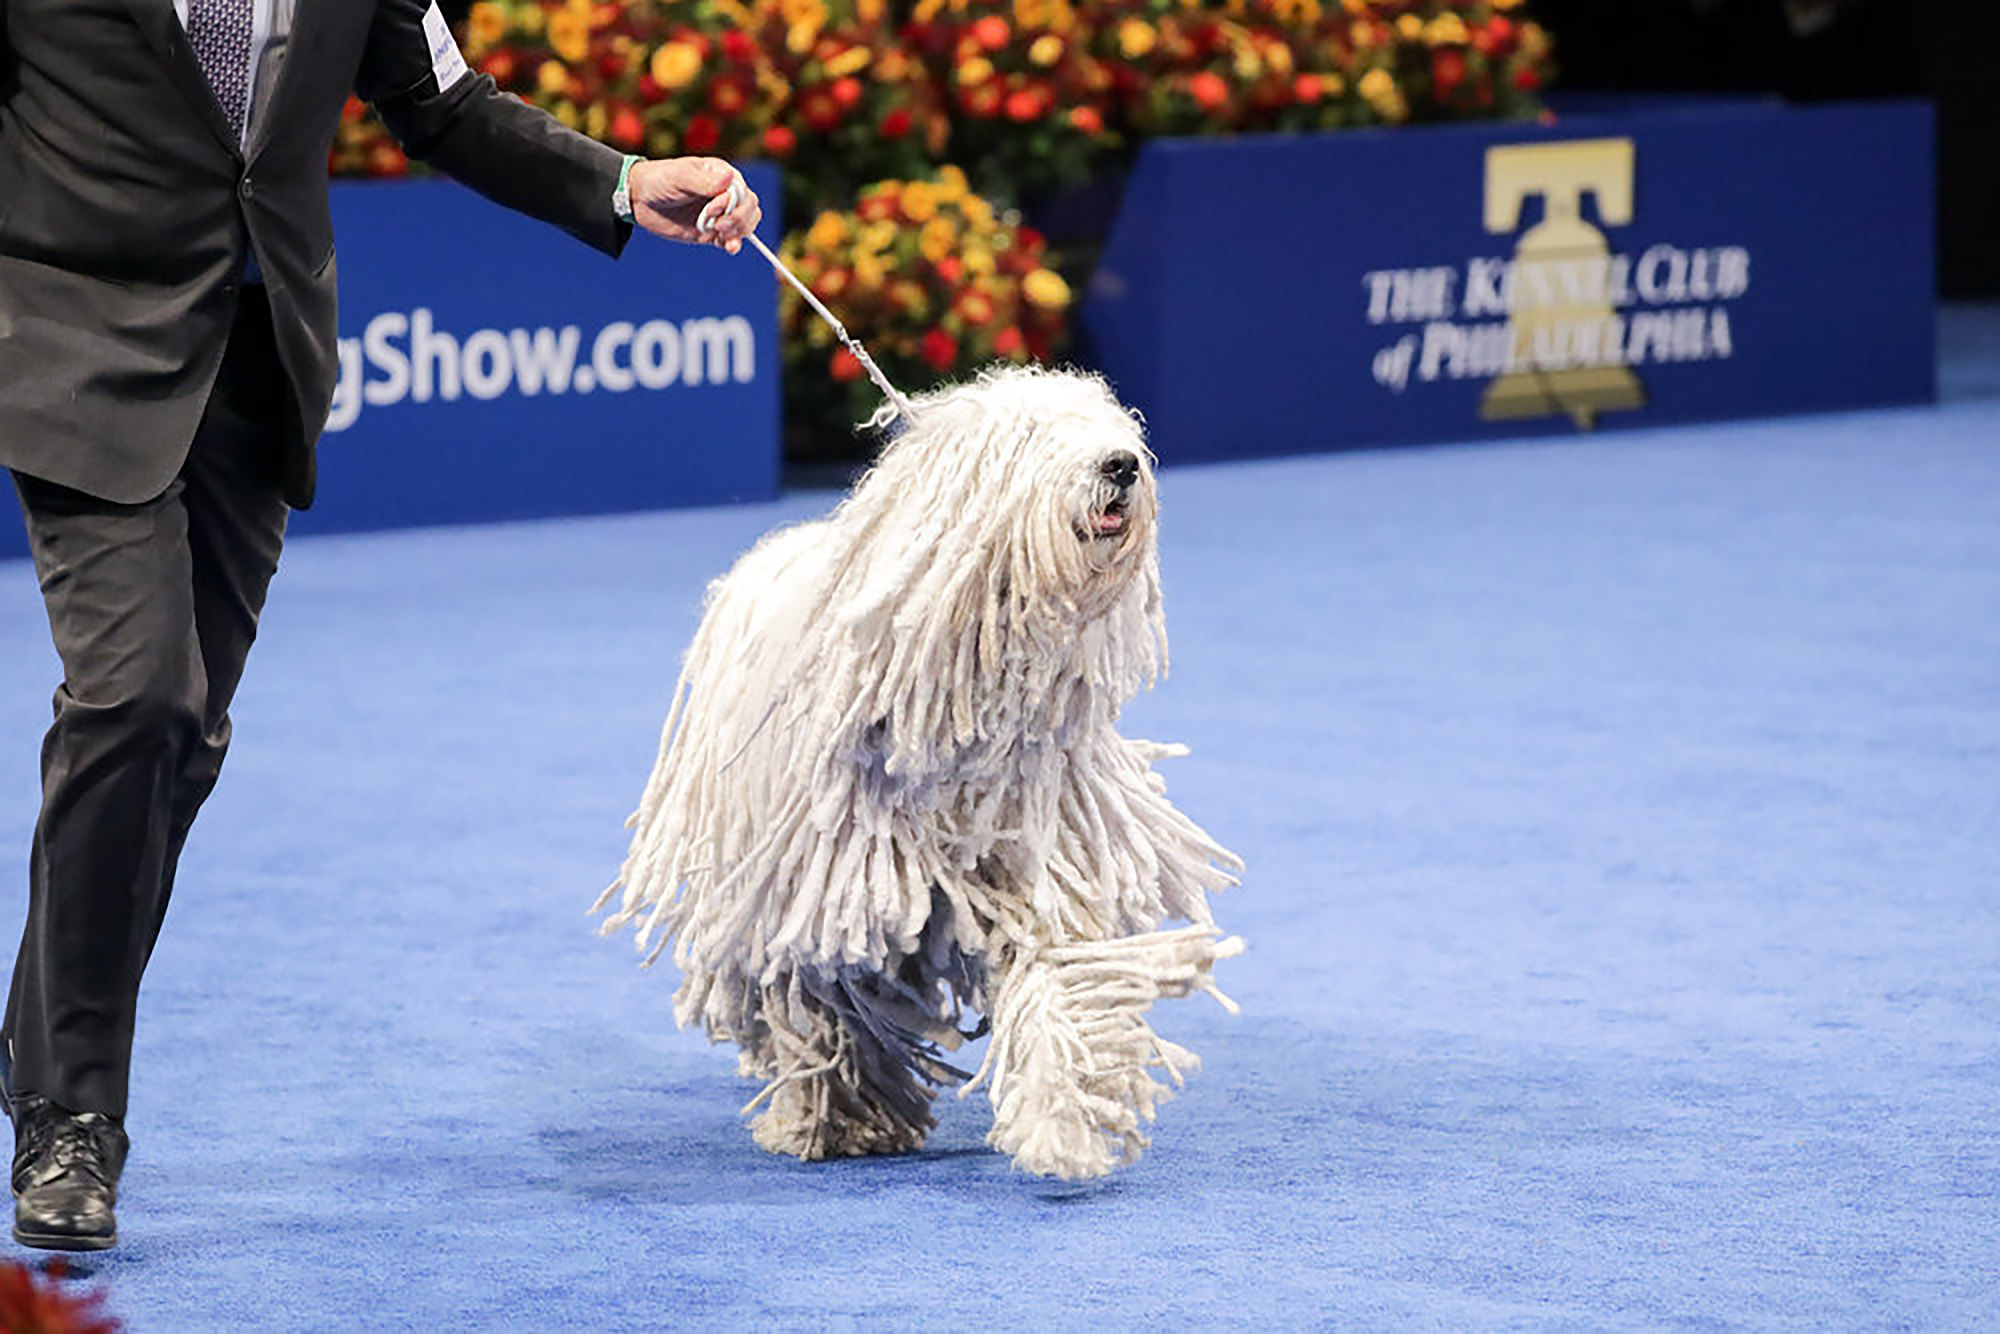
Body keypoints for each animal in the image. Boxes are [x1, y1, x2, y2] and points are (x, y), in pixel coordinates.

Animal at [592, 362, 1240, 1176]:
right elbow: (826, 996)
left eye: (1110, 425)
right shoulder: (823, 889)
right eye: (1031, 437)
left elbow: (1062, 977)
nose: (1120, 465)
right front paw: (841, 1117)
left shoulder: (1044, 858)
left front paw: (1065, 1119)